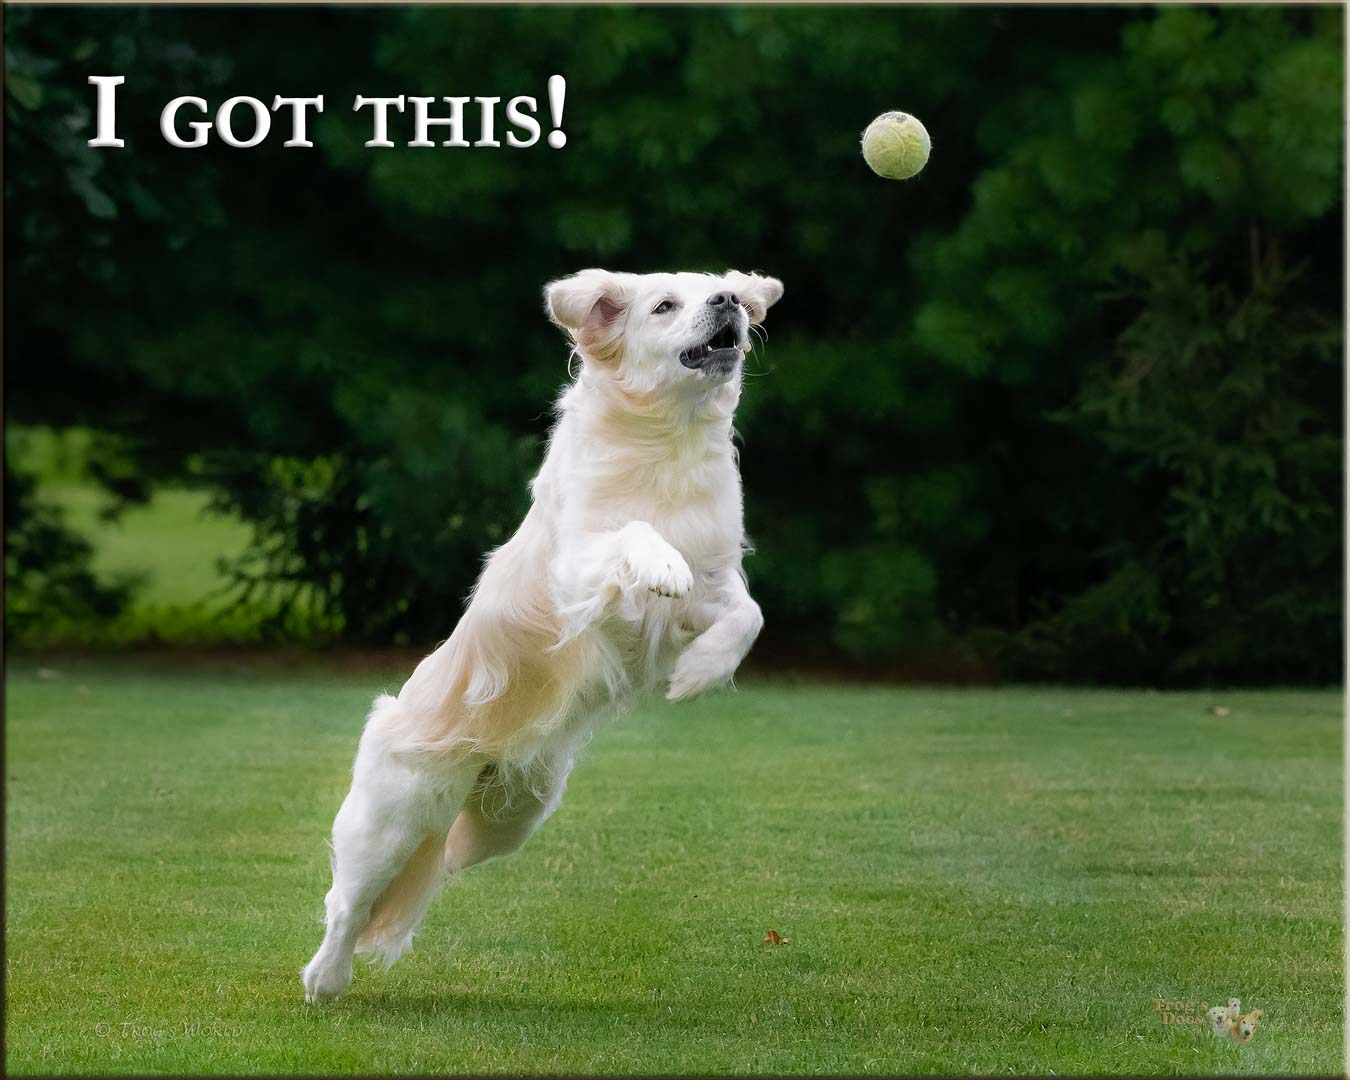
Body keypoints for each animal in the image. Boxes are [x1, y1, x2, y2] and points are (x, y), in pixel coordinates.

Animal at [295, 265, 783, 999]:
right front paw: (660, 563)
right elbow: (632, 535)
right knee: (347, 902)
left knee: (442, 862)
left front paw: (699, 672)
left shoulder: (715, 582)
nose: (731, 300)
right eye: (665, 305)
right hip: (389, 819)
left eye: (714, 288)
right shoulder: (576, 569)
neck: (666, 442)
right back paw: (326, 977)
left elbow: (748, 615)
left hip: (511, 818)